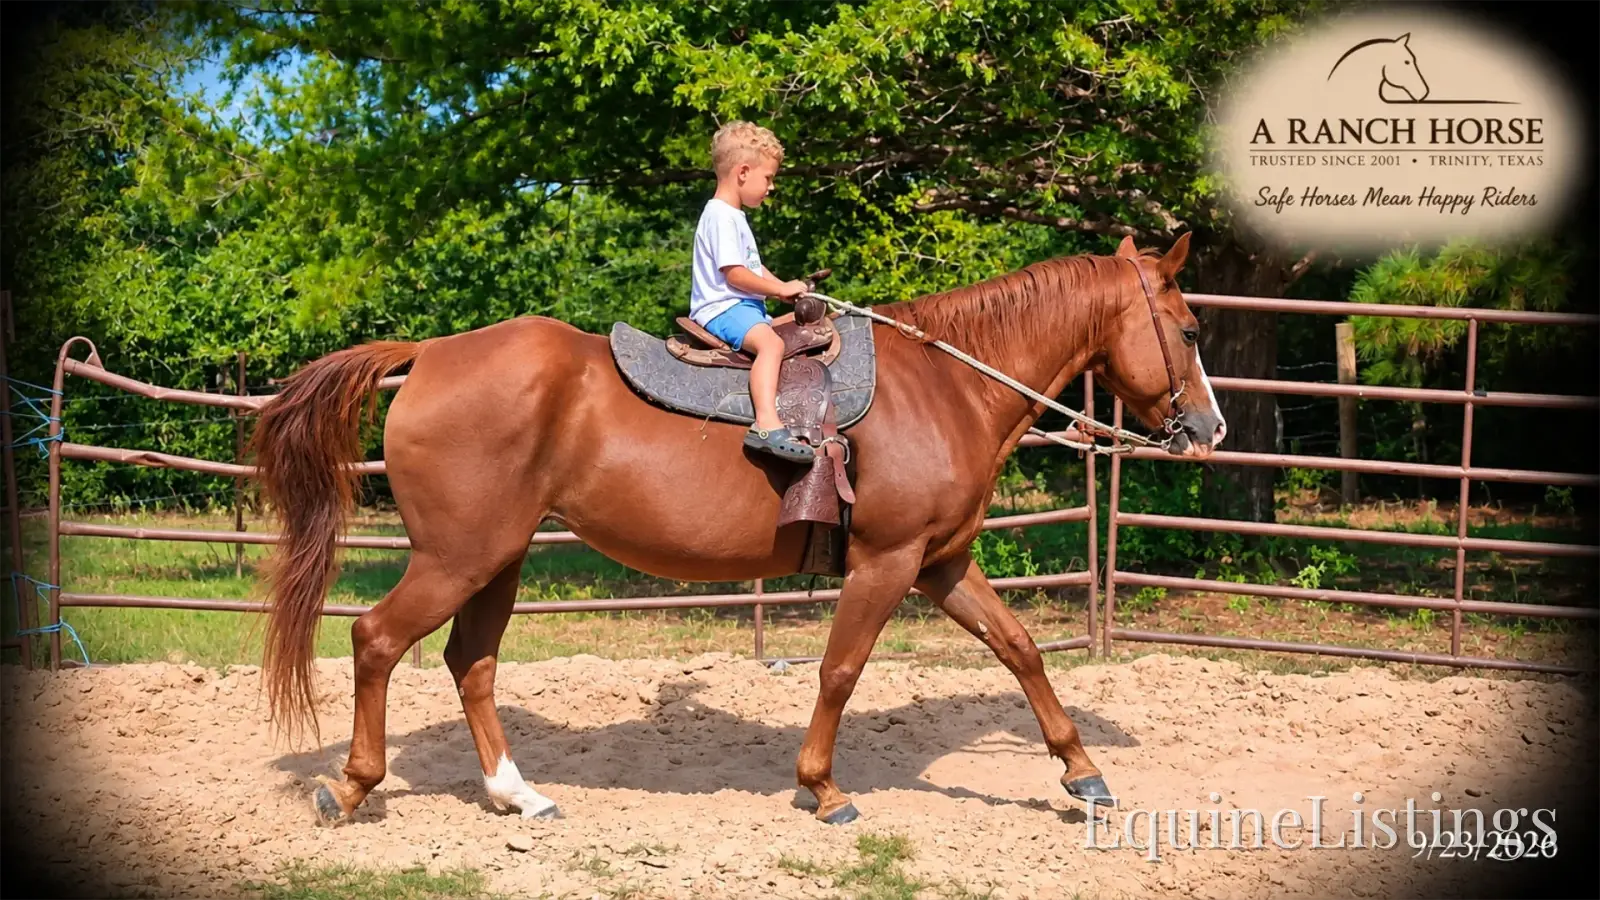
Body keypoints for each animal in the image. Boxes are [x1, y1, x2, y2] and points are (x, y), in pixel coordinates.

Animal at [245, 231, 1227, 826]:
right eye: (1187, 329)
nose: (1211, 429)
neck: (947, 385)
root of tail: (429, 356)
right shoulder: (887, 562)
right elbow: (839, 671)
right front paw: (823, 788)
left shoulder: (940, 563)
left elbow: (1020, 650)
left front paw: (1082, 772)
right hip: (458, 556)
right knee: (377, 641)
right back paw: (352, 787)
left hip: (499, 558)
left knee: (469, 664)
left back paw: (518, 794)